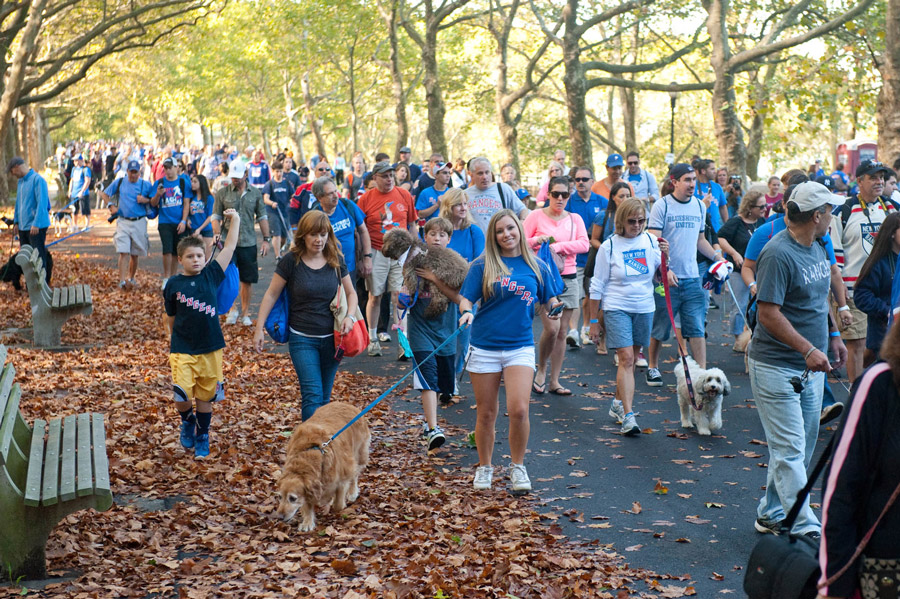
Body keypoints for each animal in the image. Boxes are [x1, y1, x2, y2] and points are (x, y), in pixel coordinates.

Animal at [276, 404, 370, 536]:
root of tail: (347, 404)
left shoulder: (343, 475)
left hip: (359, 454)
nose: (279, 517)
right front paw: (307, 522)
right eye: (280, 497)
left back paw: (352, 493)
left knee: (355, 475)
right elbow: (307, 505)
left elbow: (338, 503)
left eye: (292, 498)